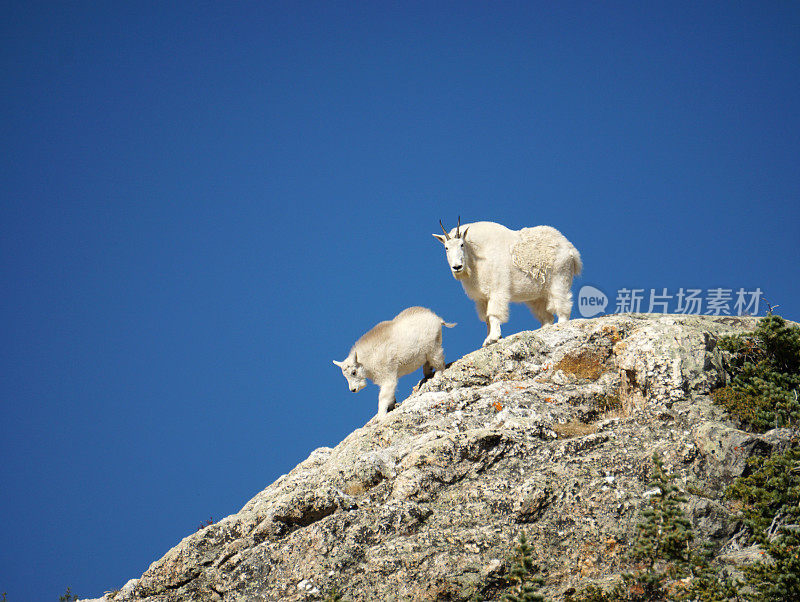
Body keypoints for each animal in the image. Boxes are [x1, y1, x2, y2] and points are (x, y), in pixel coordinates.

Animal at [434, 218, 584, 344]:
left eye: (462, 245)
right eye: (446, 248)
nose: (457, 267)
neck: (476, 259)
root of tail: (571, 249)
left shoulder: (497, 289)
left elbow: (494, 314)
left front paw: (493, 338)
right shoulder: (481, 298)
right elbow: (486, 318)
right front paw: (488, 339)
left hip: (560, 276)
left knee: (562, 302)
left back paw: (561, 324)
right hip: (538, 294)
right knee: (546, 315)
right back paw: (542, 329)